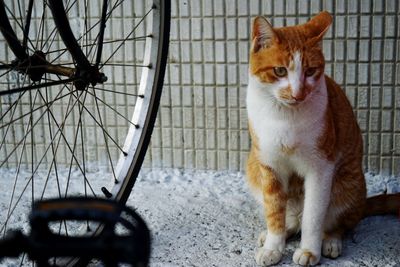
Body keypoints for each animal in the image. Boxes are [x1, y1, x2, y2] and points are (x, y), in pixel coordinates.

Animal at [247, 11, 400, 267]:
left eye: (310, 71)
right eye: (280, 71)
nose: (298, 94)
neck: (285, 116)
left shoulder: (321, 167)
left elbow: (313, 216)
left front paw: (310, 251)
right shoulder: (269, 165)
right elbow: (274, 210)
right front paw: (273, 246)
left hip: (348, 184)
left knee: (339, 223)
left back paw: (330, 241)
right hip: (252, 167)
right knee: (290, 220)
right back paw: (277, 232)